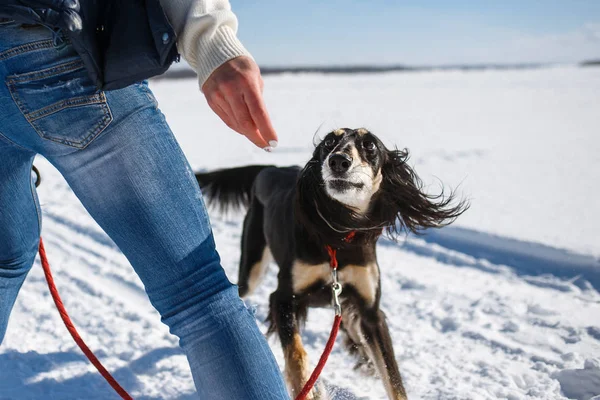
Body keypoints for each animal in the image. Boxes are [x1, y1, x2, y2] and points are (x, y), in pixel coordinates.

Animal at [195, 128, 466, 400]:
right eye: (328, 142)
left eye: (369, 145)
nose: (338, 161)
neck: (339, 233)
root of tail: (271, 169)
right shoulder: (283, 298)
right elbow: (296, 354)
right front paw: (308, 388)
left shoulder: (370, 312)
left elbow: (393, 377)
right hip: (252, 270)